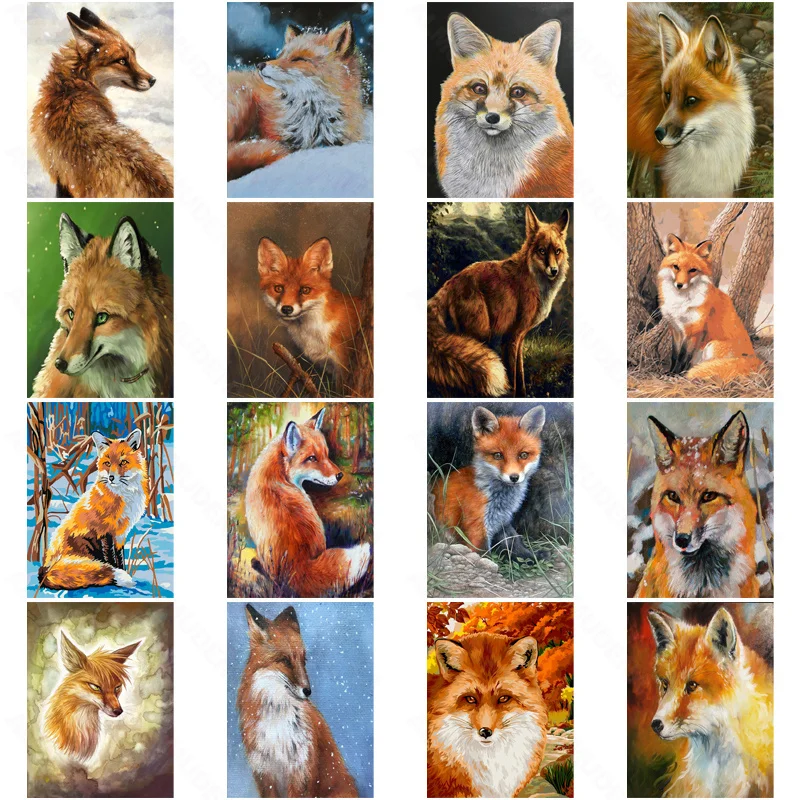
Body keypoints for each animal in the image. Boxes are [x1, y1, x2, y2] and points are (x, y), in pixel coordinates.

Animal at [30, 7, 173, 198]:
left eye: (133, 57)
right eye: (122, 61)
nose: (153, 80)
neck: (71, 87)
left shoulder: (62, 177)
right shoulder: (62, 178)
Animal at [38, 429, 146, 592]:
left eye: (123, 462)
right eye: (107, 463)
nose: (111, 477)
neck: (123, 497)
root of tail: (46, 570)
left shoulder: (121, 534)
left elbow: (120, 558)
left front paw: (123, 572)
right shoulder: (104, 531)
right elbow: (111, 560)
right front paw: (119, 576)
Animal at [428, 207, 569, 398]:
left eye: (557, 251)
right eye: (541, 251)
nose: (554, 270)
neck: (534, 279)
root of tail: (450, 282)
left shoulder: (520, 337)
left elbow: (520, 375)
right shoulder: (510, 337)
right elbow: (513, 379)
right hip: (480, 334)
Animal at [432, 405, 545, 561]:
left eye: (523, 455)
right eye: (498, 455)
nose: (514, 477)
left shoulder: (503, 521)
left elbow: (515, 542)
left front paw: (532, 557)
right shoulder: (477, 527)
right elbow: (481, 554)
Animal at [658, 234, 761, 383]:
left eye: (692, 270)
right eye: (676, 267)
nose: (679, 285)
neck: (680, 303)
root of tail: (755, 360)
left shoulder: (694, 331)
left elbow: (683, 357)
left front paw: (677, 374)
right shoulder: (675, 329)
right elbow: (675, 355)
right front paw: (671, 372)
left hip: (711, 346)